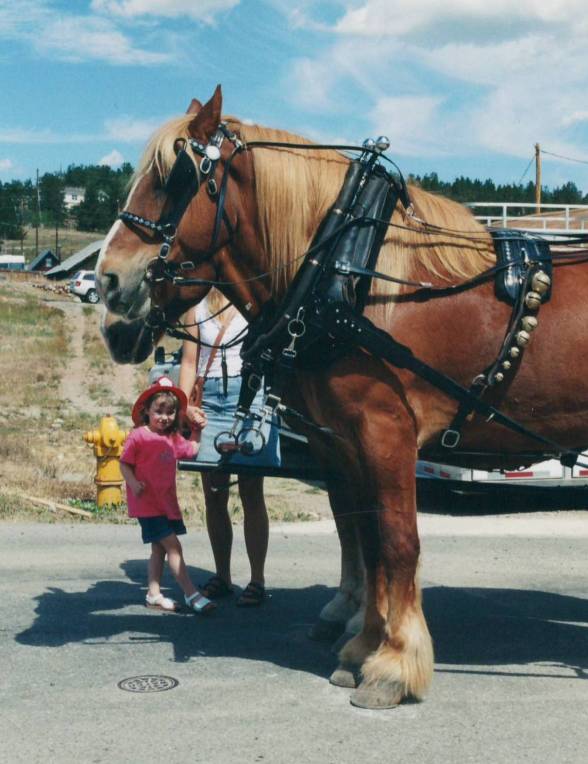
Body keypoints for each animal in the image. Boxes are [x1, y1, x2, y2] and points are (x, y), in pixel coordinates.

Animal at [96, 86, 588, 708]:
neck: (353, 279)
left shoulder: (385, 432)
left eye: (175, 177)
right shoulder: (347, 439)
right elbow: (363, 536)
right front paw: (361, 643)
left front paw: (394, 664)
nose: (107, 284)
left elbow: (396, 542)